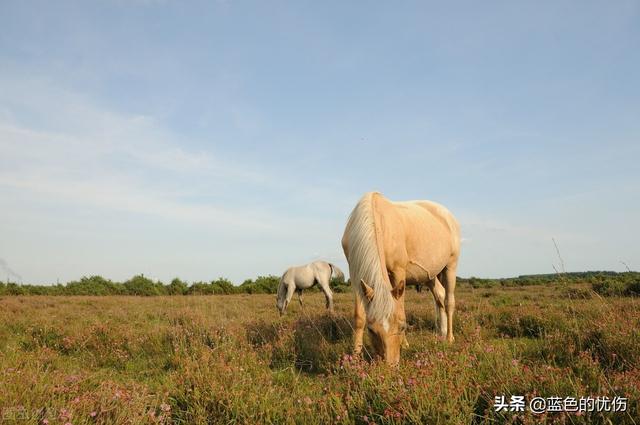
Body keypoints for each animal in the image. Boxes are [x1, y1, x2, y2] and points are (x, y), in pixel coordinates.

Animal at [340, 192, 460, 364]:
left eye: (402, 327)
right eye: (371, 330)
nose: (390, 365)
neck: (376, 222)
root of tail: (447, 215)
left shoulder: (398, 271)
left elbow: (401, 309)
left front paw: (405, 345)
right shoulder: (356, 272)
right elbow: (359, 317)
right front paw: (355, 356)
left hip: (451, 265)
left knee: (449, 301)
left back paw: (449, 338)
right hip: (430, 275)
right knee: (439, 295)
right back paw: (441, 334)